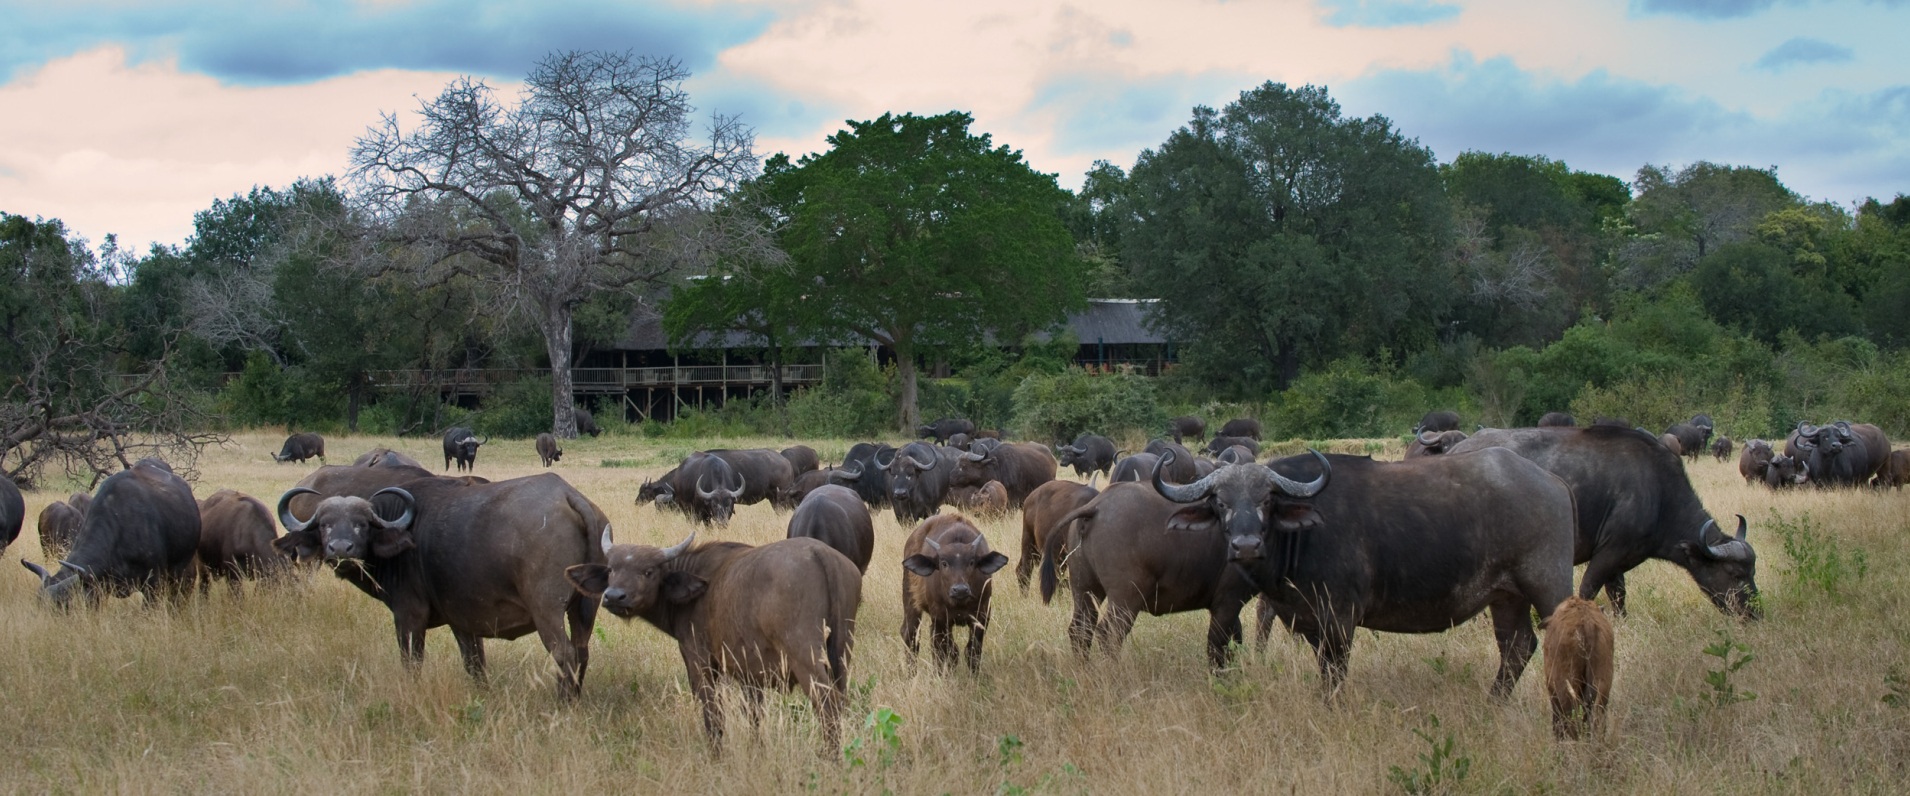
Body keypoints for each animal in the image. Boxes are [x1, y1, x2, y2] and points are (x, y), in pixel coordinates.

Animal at [277, 473, 609, 699]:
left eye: (361, 524)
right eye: (325, 525)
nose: (340, 549)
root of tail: (568, 495)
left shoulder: (408, 615)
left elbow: (412, 661)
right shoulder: (462, 620)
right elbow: (474, 663)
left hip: (546, 609)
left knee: (564, 653)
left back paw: (562, 702)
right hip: (584, 608)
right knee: (582, 652)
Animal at [568, 532, 859, 749]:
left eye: (648, 571)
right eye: (611, 570)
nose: (614, 596)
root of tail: (819, 554)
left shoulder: (699, 660)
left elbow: (713, 712)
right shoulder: (750, 674)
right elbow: (753, 714)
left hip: (804, 656)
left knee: (828, 705)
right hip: (841, 650)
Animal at [902, 515, 1010, 673]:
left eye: (971, 562)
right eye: (944, 563)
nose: (960, 589)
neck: (959, 604)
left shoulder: (982, 617)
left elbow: (971, 651)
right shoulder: (940, 619)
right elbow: (945, 652)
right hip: (910, 601)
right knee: (910, 635)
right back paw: (911, 673)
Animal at [1450, 426, 1761, 618]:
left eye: (1752, 572)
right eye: (1735, 573)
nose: (1754, 612)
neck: (1659, 493)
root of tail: (1455, 450)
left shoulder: (1619, 561)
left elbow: (1618, 595)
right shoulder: (1607, 553)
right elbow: (1587, 590)